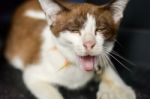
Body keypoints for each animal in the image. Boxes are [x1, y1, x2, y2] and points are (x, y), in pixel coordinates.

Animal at [4, 0, 136, 98]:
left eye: (100, 29)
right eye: (74, 30)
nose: (89, 43)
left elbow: (105, 64)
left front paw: (120, 88)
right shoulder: (33, 74)